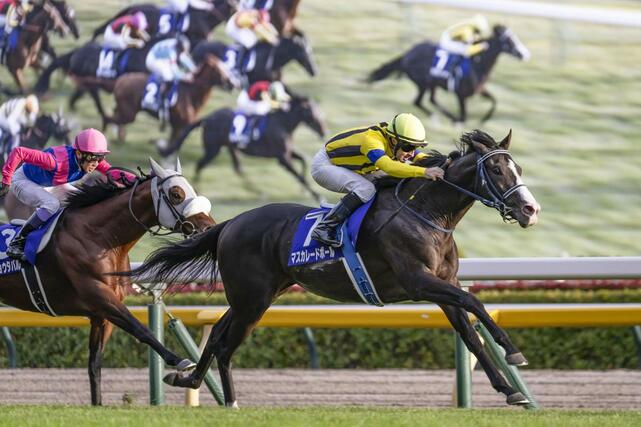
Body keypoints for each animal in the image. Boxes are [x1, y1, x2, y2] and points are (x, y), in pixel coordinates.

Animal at [0, 159, 214, 405]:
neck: (99, 237)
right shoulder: (100, 297)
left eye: (192, 190)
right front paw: (179, 360)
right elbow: (141, 329)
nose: (209, 227)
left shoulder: (100, 315)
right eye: (176, 194)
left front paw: (98, 404)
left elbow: (94, 364)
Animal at [105, 54, 234, 144]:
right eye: (218, 69)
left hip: (124, 110)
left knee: (114, 117)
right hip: (129, 114)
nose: (231, 83)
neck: (191, 92)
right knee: (109, 118)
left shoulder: (177, 126)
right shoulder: (180, 125)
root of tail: (120, 80)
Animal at [125, 129, 541, 408]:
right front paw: (514, 352)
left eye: (519, 167)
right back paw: (227, 400)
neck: (427, 213)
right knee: (226, 344)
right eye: (498, 170)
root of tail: (230, 224)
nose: (530, 210)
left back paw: (189, 379)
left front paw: (511, 391)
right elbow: (477, 304)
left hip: (256, 296)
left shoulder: (442, 284)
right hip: (252, 299)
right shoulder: (419, 282)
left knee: (216, 337)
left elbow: (470, 333)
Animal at [165, 94, 326, 200]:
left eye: (319, 111)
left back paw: (259, 192)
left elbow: (303, 160)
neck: (282, 123)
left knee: (238, 168)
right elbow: (299, 176)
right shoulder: (282, 158)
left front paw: (303, 191)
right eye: (310, 112)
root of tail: (207, 118)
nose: (323, 131)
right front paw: (318, 196)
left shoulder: (287, 153)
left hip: (232, 148)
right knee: (200, 164)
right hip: (213, 149)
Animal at [368, 25, 530, 124]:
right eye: (510, 40)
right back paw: (438, 118)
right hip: (423, 83)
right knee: (419, 101)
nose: (524, 54)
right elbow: (463, 117)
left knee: (430, 100)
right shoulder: (461, 95)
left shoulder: (479, 90)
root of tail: (407, 54)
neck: (477, 63)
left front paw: (484, 119)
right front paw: (458, 122)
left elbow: (494, 101)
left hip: (431, 84)